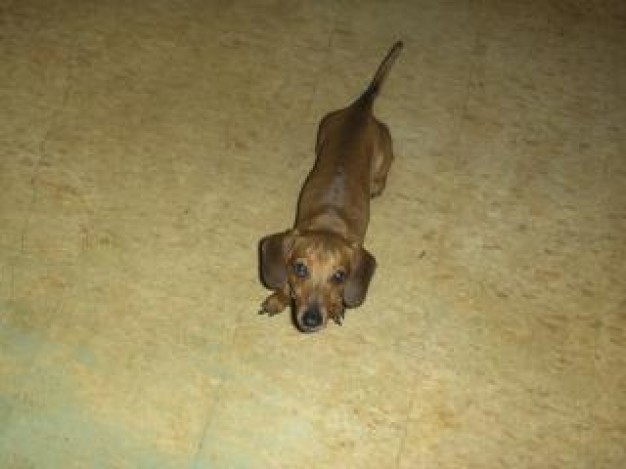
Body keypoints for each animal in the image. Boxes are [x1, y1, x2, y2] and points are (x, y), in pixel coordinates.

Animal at [258, 41, 400, 332]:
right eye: (300, 269)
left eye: (339, 276)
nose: (312, 319)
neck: (328, 224)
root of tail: (361, 108)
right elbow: (285, 286)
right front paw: (278, 298)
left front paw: (336, 306)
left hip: (385, 154)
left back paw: (376, 185)